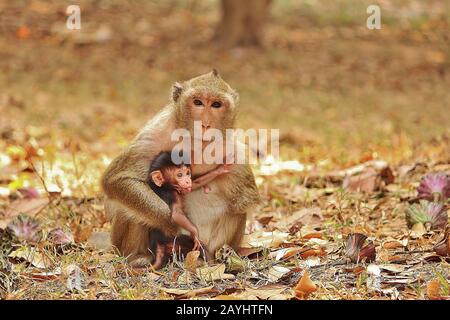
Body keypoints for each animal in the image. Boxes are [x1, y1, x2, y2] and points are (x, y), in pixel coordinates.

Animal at [100, 70, 258, 268]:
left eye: (216, 104)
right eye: (198, 102)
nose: (205, 124)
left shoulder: (235, 150)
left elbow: (246, 198)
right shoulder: (155, 133)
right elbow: (117, 180)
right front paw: (170, 223)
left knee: (237, 211)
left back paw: (220, 255)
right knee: (127, 206)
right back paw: (137, 257)